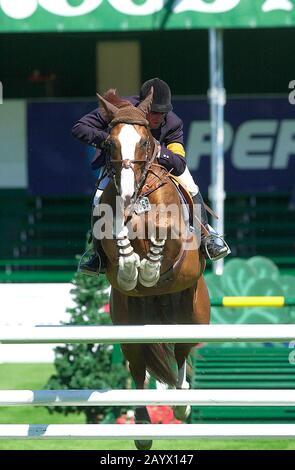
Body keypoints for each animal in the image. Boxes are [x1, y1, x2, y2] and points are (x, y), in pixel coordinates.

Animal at [95, 88, 210, 452]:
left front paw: (147, 269)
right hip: (128, 326)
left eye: (146, 142)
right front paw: (132, 269)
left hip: (192, 317)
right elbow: (118, 236)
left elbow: (163, 234)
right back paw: (143, 430)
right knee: (138, 369)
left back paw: (183, 405)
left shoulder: (179, 245)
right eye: (109, 143)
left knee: (182, 356)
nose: (129, 193)